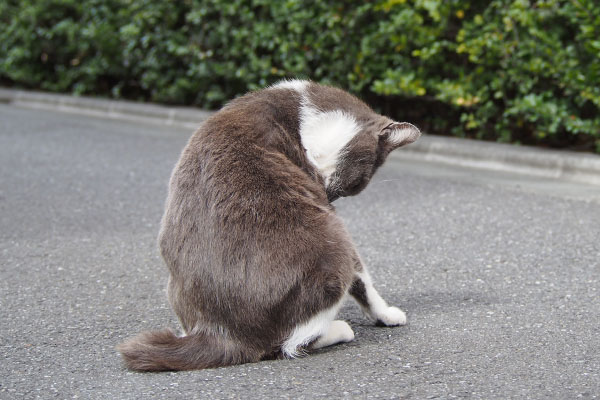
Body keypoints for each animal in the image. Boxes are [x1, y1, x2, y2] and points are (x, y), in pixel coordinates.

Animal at [118, 80, 422, 372]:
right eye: (356, 185)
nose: (330, 196)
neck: (300, 116)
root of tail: (227, 336)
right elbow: (363, 277)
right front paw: (387, 314)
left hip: (174, 285)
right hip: (332, 251)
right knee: (289, 344)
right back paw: (339, 330)